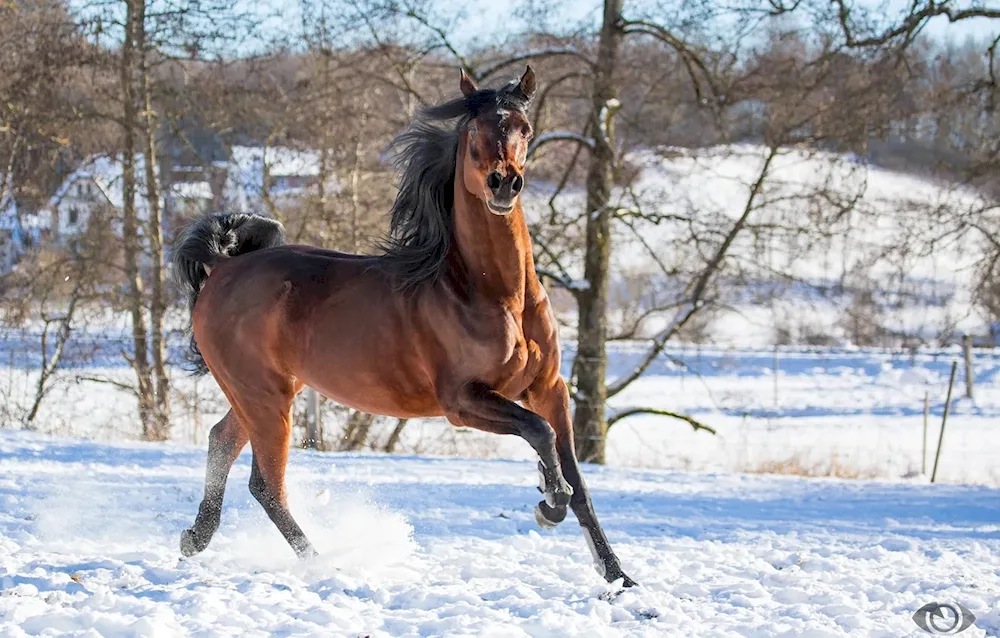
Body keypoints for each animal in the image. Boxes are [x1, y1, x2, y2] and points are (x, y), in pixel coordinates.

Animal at [174, 67, 632, 588]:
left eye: (525, 129)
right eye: (475, 131)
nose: (503, 184)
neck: (495, 293)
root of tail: (223, 267)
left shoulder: (549, 388)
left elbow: (578, 481)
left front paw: (618, 576)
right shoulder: (463, 401)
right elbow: (540, 435)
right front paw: (547, 503)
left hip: (267, 393)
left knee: (221, 443)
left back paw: (195, 538)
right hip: (264, 399)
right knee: (266, 484)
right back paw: (324, 562)